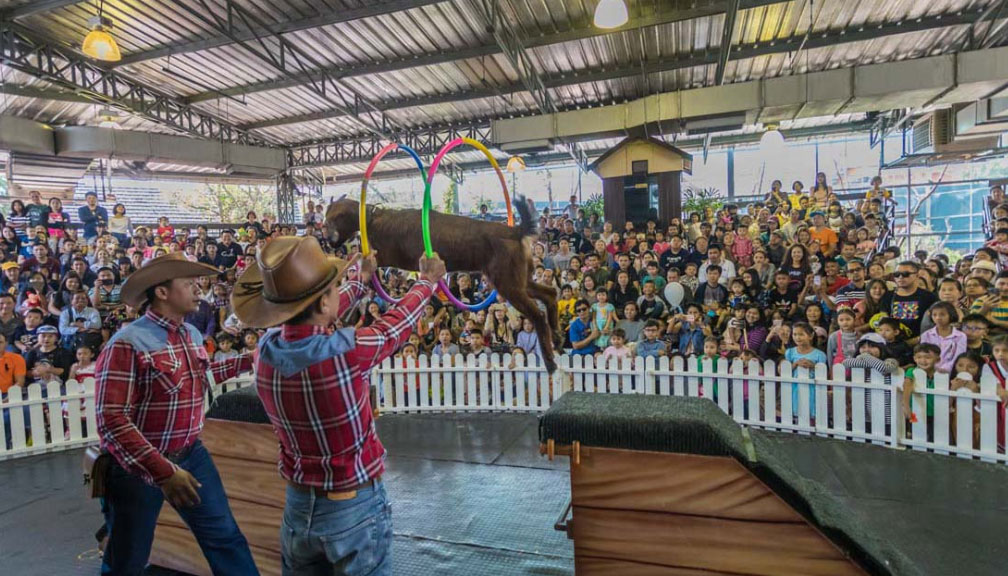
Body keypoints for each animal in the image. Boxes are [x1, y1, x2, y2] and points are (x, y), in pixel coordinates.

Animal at [326, 195, 560, 373]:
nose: (327, 240)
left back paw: (550, 360)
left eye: (330, 220)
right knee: (550, 294)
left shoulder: (383, 256)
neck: (372, 219)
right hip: (520, 281)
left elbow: (357, 263)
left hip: (509, 284)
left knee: (538, 316)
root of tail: (515, 231)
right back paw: (556, 335)